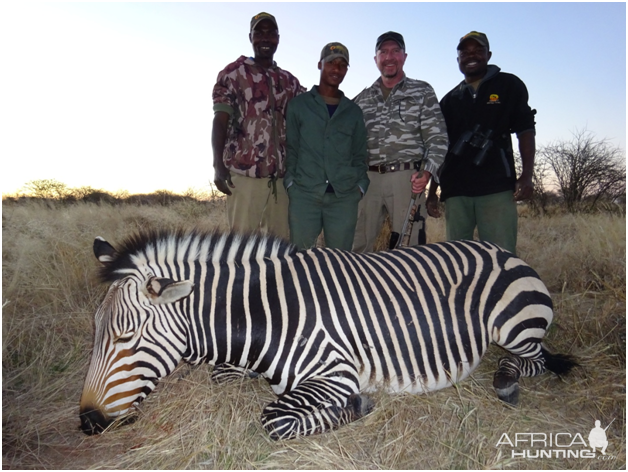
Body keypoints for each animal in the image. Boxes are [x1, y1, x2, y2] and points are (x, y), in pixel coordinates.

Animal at [81, 230, 576, 440]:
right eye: (95, 333)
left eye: (126, 337)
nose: (87, 422)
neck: (266, 316)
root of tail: (499, 247)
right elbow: (224, 375)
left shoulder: (335, 373)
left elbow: (275, 420)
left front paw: (358, 407)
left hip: (513, 325)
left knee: (533, 357)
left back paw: (506, 381)